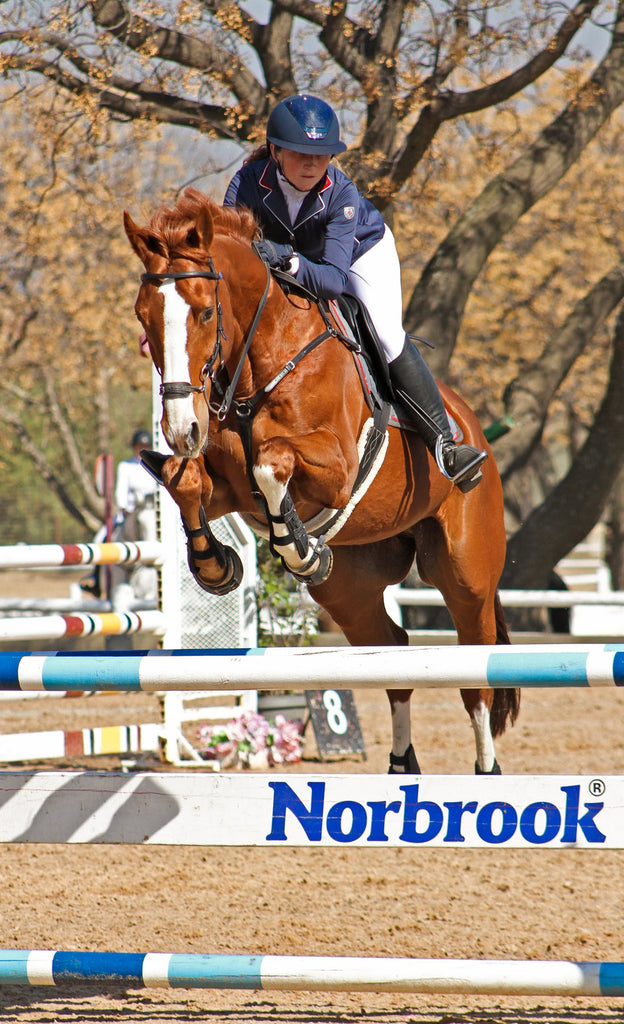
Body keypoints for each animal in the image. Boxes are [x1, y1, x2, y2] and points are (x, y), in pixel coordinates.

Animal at [123, 188, 518, 770]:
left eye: (203, 312)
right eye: (143, 316)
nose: (180, 428)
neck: (261, 356)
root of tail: (472, 426)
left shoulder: (336, 471)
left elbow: (271, 461)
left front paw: (297, 546)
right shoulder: (225, 488)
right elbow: (183, 480)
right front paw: (215, 565)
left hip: (466, 572)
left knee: (476, 677)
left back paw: (486, 771)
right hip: (350, 590)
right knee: (393, 653)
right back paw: (401, 766)